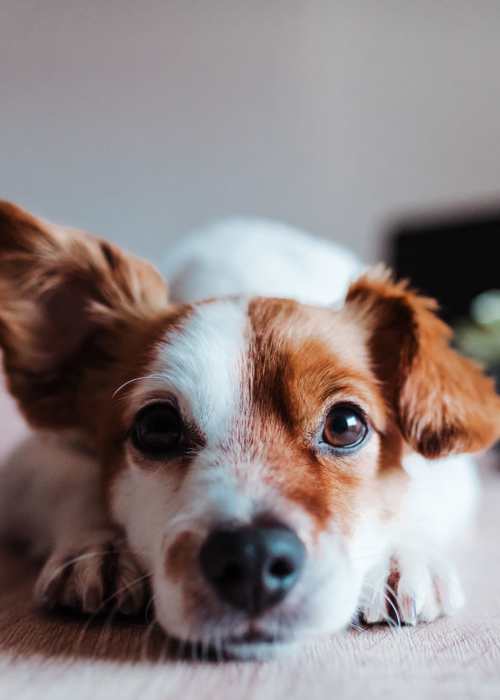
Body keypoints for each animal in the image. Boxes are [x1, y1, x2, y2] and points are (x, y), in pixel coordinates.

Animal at [0, 200, 500, 660]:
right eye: (156, 427)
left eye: (345, 424)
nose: (253, 556)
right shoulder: (31, 461)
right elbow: (73, 482)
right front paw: (100, 545)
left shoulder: (453, 471)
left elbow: (416, 494)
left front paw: (399, 553)